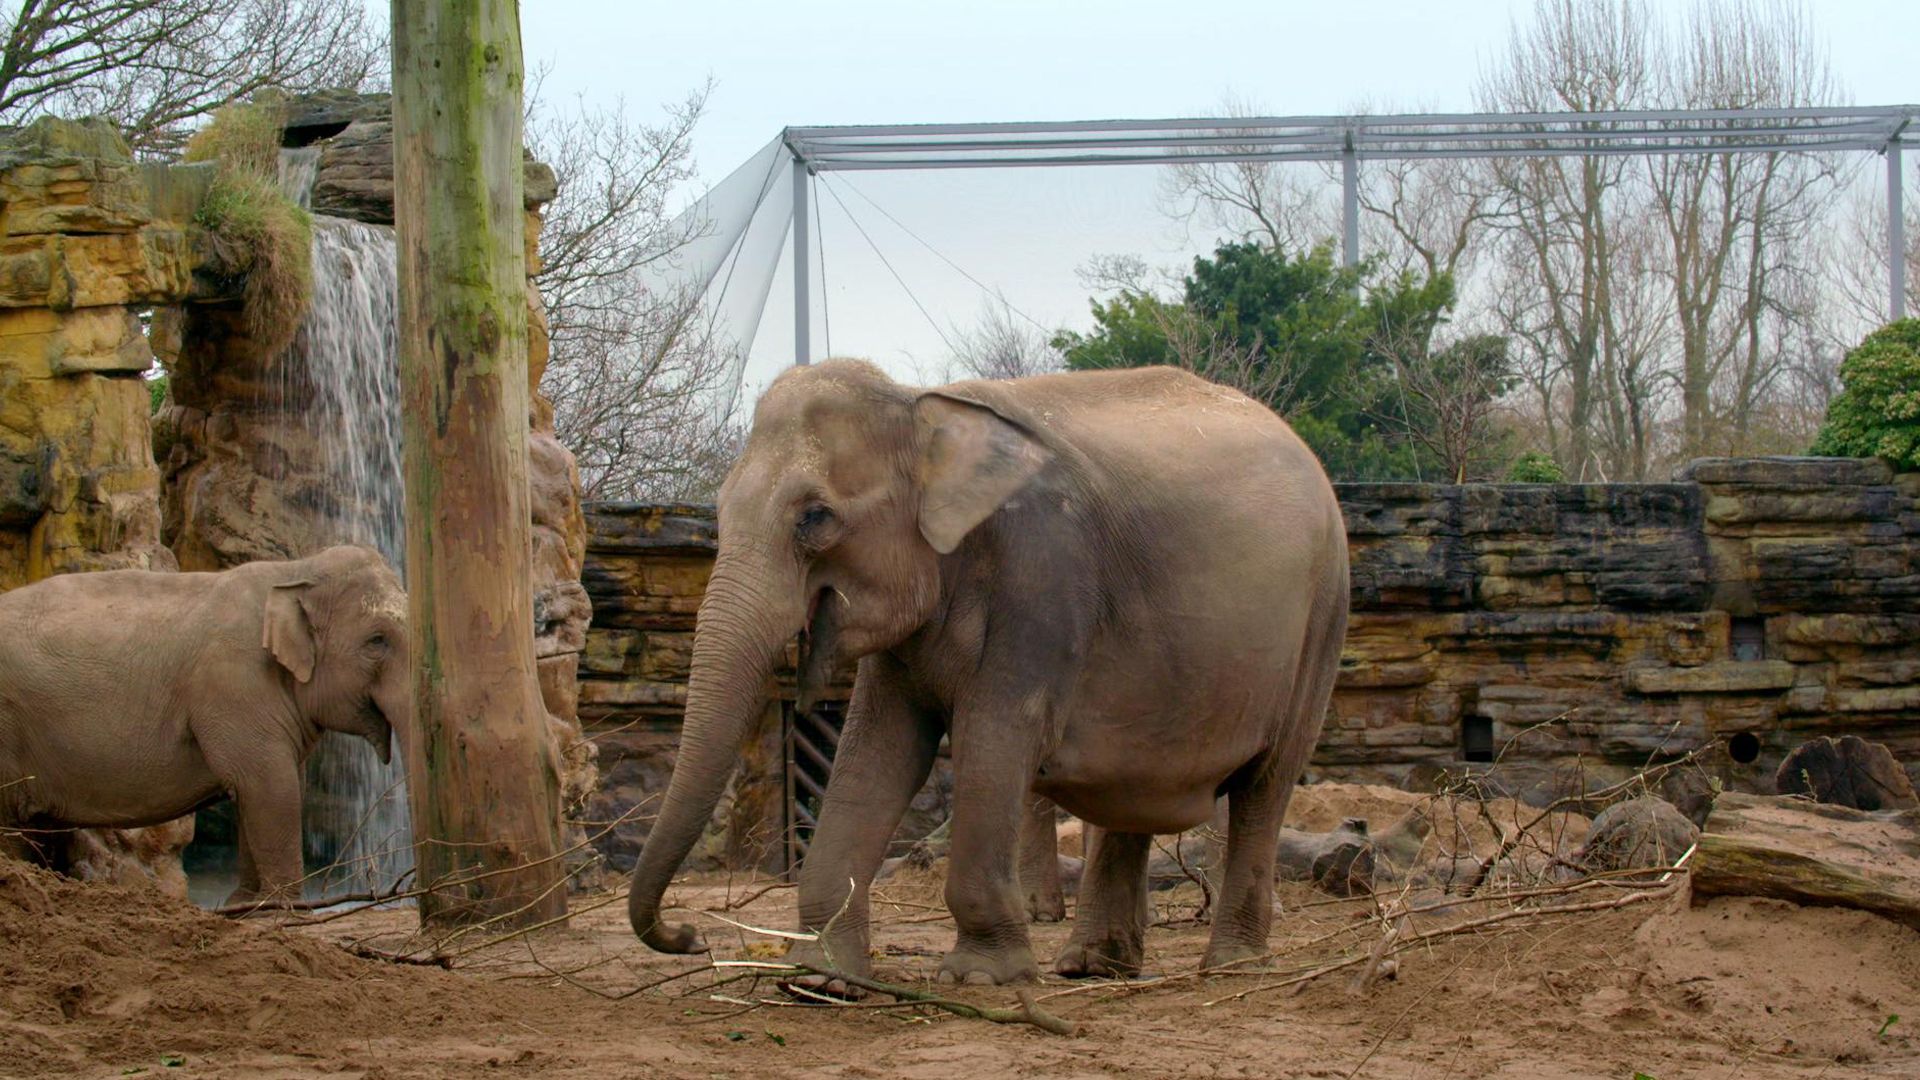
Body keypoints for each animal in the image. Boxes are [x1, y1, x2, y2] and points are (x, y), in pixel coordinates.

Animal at [1, 541, 408, 903]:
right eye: (377, 640)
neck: (293, 571)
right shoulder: (233, 685)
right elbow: (271, 785)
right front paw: (280, 907)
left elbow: (266, 786)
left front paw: (243, 904)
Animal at [629, 361, 1351, 983]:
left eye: (814, 517)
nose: (688, 935)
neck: (921, 406)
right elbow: (880, 749)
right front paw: (822, 980)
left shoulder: (1042, 580)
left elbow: (994, 738)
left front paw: (981, 976)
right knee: (1134, 786)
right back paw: (1093, 967)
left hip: (1322, 619)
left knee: (1266, 783)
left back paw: (1229, 967)